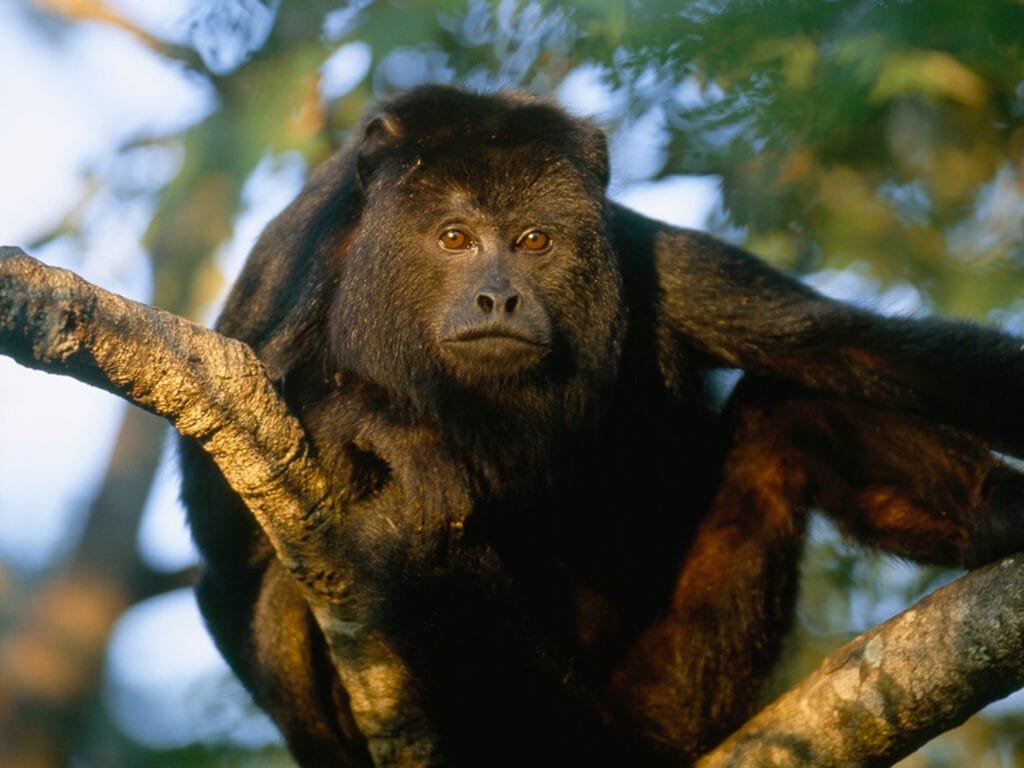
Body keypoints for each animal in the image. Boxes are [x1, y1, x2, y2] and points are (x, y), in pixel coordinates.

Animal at [180, 85, 1024, 766]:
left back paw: (990, 515)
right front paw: (372, 420)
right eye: (454, 237)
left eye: (535, 241)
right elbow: (220, 526)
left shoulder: (653, 260)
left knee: (789, 412)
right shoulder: (300, 256)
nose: (499, 297)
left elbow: (850, 345)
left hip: (684, 688)